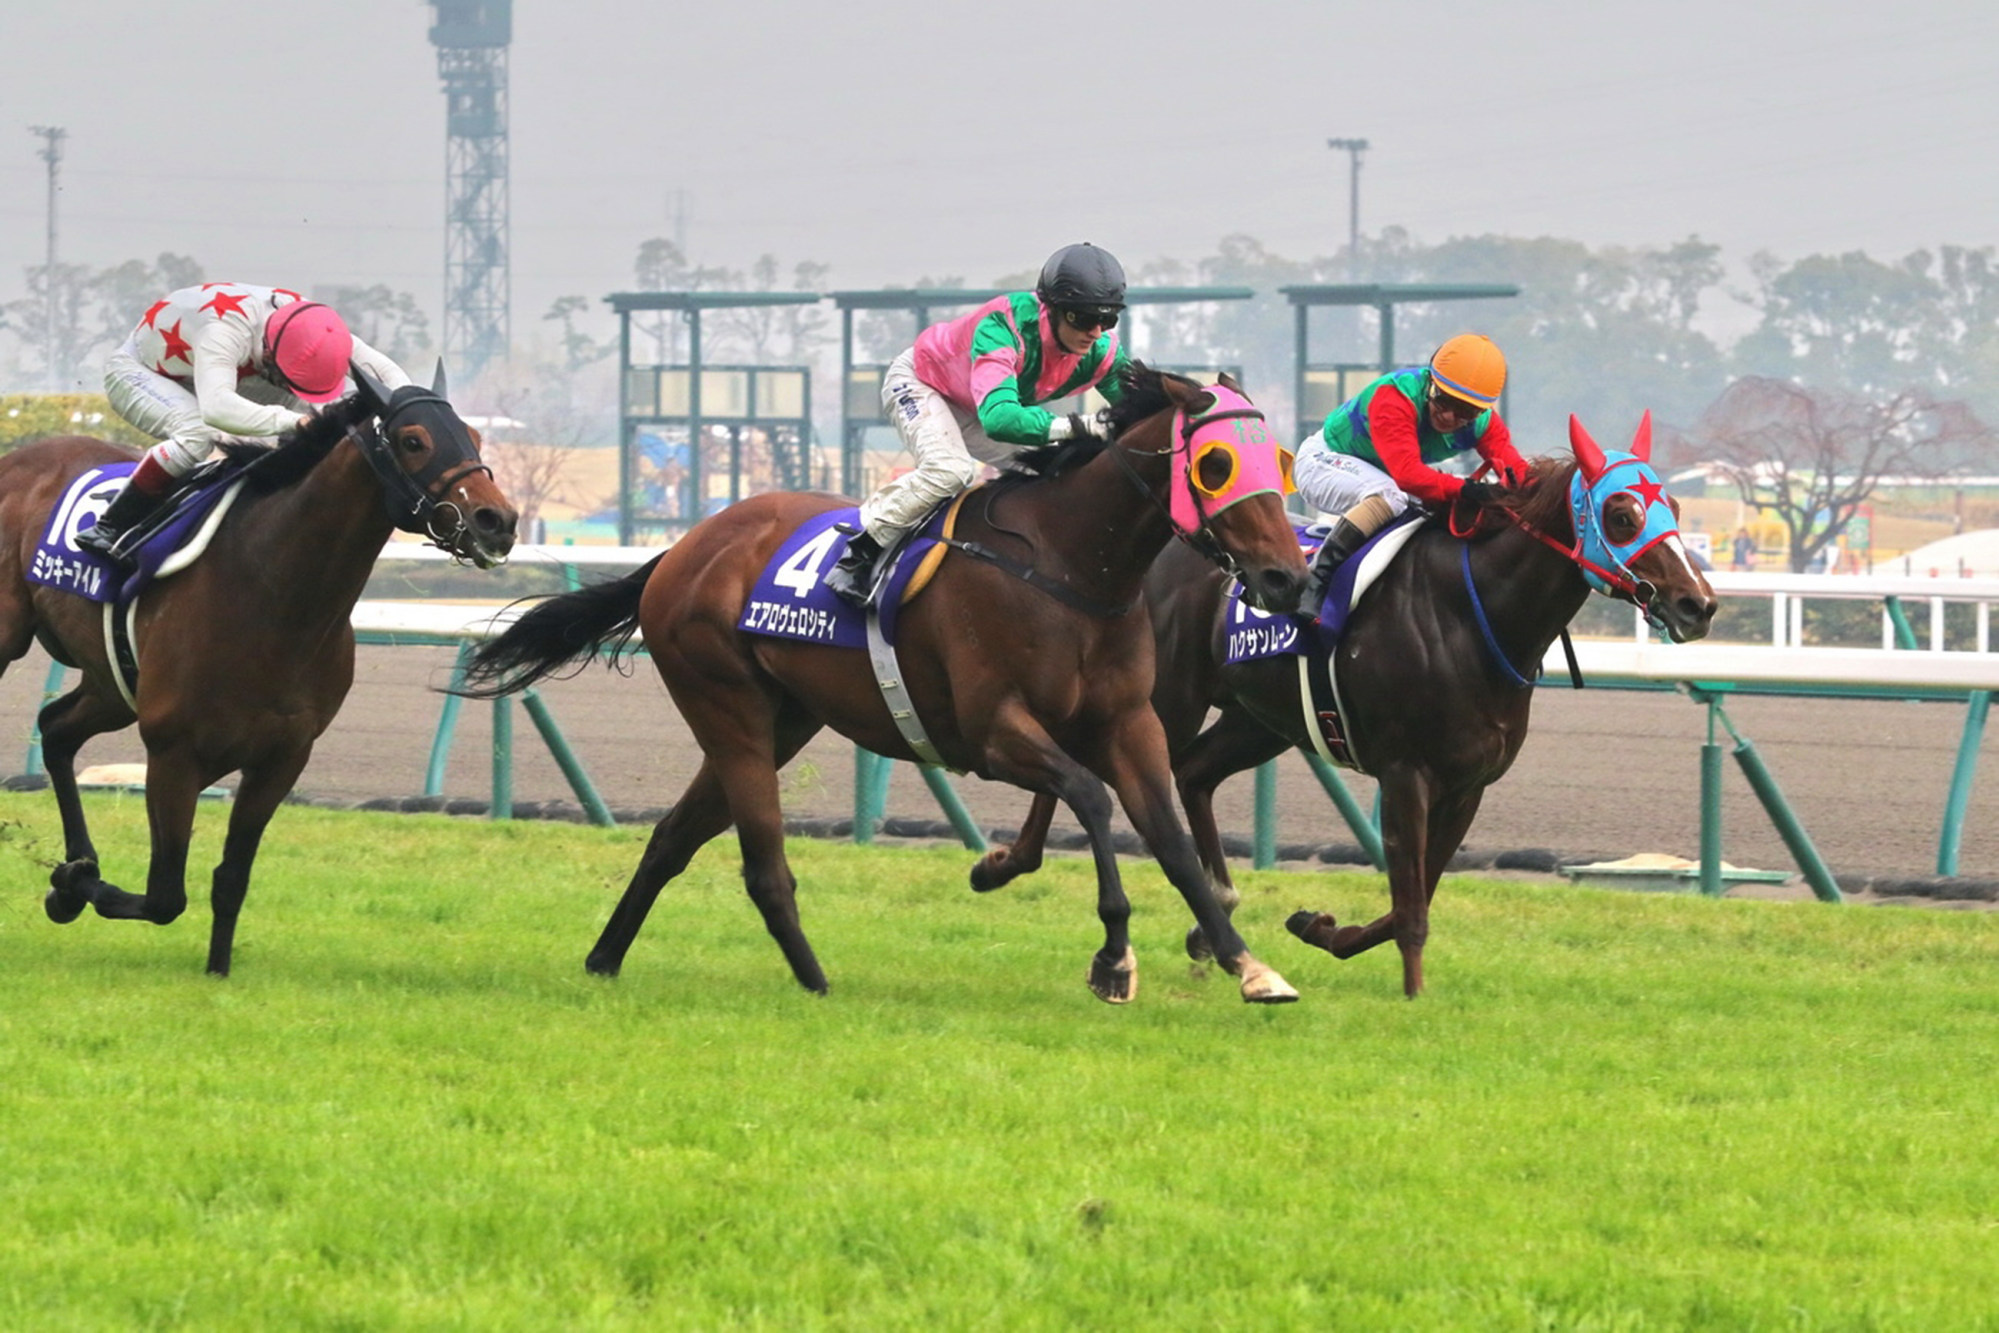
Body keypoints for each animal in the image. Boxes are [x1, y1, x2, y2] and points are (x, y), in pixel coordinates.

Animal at [1, 369, 515, 975]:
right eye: (414, 440)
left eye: (475, 439)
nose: (497, 521)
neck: (272, 592)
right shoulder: (173, 753)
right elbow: (165, 895)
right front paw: (69, 885)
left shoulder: (282, 757)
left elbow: (231, 880)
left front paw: (216, 970)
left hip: (112, 683)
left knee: (57, 729)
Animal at [461, 365, 1319, 999]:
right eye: (1215, 464)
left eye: (1274, 460)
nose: (1286, 578)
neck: (1069, 564)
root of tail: (682, 547)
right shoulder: (991, 730)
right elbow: (1089, 796)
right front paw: (1112, 958)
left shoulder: (1128, 722)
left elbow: (1168, 836)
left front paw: (1246, 962)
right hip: (726, 704)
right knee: (762, 862)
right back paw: (815, 981)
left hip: (783, 718)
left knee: (672, 836)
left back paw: (605, 958)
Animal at [979, 417, 1719, 999]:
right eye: (1621, 514)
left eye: (1675, 509)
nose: (1699, 604)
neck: (1473, 613)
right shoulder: (1406, 771)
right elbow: (1410, 902)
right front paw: (1413, 994)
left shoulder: (1469, 784)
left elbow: (1413, 895)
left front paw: (1320, 927)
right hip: (1162, 700)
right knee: (1087, 764)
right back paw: (1006, 862)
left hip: (1258, 720)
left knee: (1192, 775)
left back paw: (1211, 915)